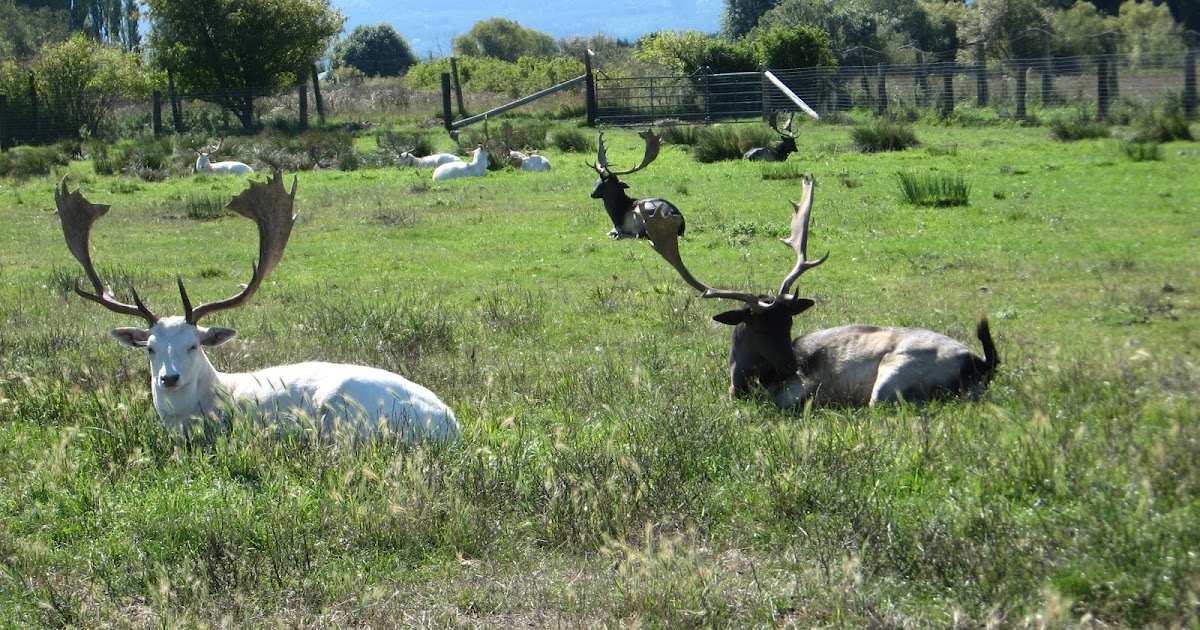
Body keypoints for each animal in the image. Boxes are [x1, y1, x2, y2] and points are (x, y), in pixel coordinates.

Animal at [637, 175, 998, 409]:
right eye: (757, 326)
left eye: (788, 323)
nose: (792, 367)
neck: (740, 386)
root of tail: (979, 363)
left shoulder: (794, 394)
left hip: (893, 376)